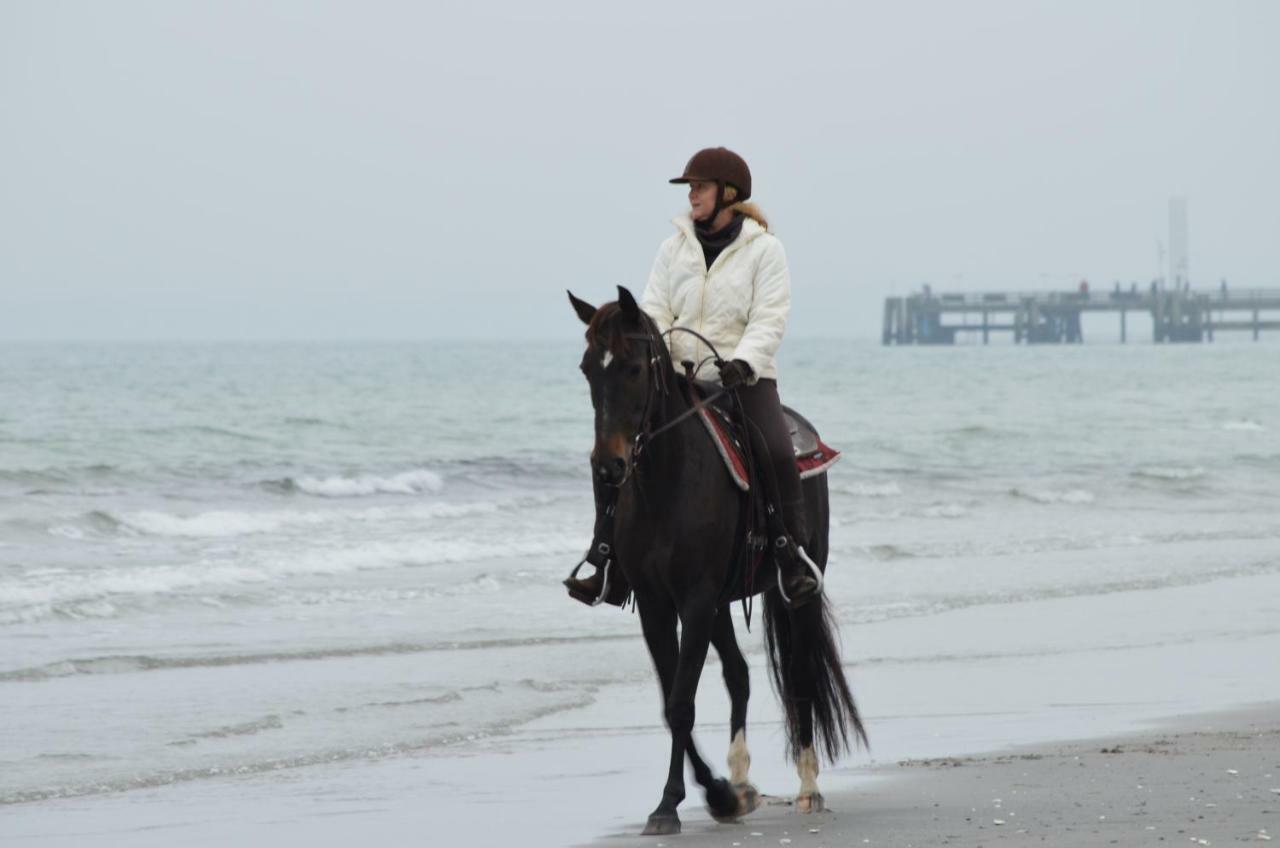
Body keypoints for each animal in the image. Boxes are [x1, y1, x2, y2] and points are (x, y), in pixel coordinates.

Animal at [570, 285, 870, 835]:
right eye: (587, 369)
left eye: (633, 368)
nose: (608, 466)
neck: (667, 481)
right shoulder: (658, 605)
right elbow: (673, 702)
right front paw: (720, 795)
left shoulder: (694, 600)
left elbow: (681, 703)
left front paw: (682, 801)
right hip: (722, 604)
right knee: (740, 675)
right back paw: (743, 779)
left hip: (790, 594)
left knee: (800, 677)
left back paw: (808, 787)